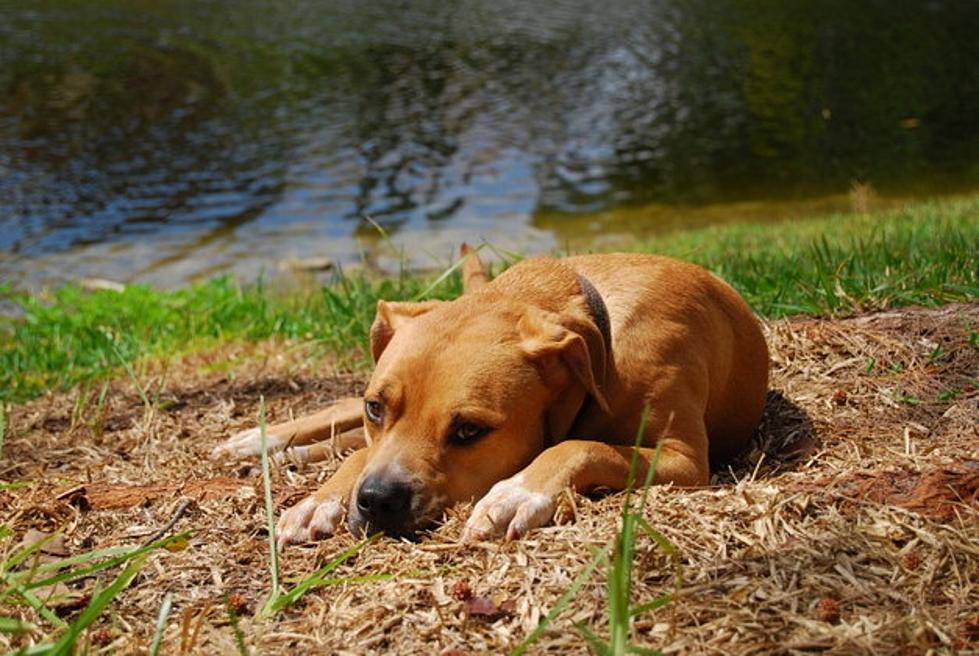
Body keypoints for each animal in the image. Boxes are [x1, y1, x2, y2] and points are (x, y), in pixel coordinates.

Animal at [211, 245, 768, 544]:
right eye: (377, 408)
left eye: (469, 431)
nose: (376, 499)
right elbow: (360, 449)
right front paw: (321, 498)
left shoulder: (684, 459)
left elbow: (579, 444)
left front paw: (517, 492)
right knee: (337, 416)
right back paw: (261, 439)